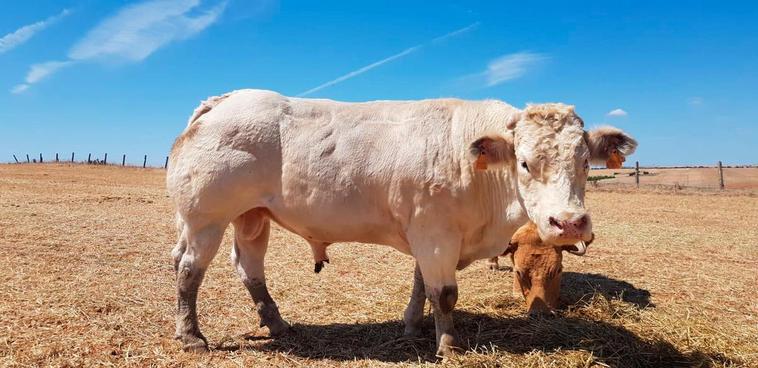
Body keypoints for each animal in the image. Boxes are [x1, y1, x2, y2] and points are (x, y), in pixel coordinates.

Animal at [166, 87, 636, 356]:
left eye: (584, 162)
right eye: (524, 162)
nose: (569, 223)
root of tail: (223, 101)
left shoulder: (427, 234)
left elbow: (420, 285)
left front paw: (412, 325)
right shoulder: (436, 234)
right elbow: (444, 293)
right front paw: (448, 345)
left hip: (252, 217)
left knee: (249, 268)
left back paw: (278, 323)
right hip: (206, 218)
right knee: (189, 271)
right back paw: (192, 337)